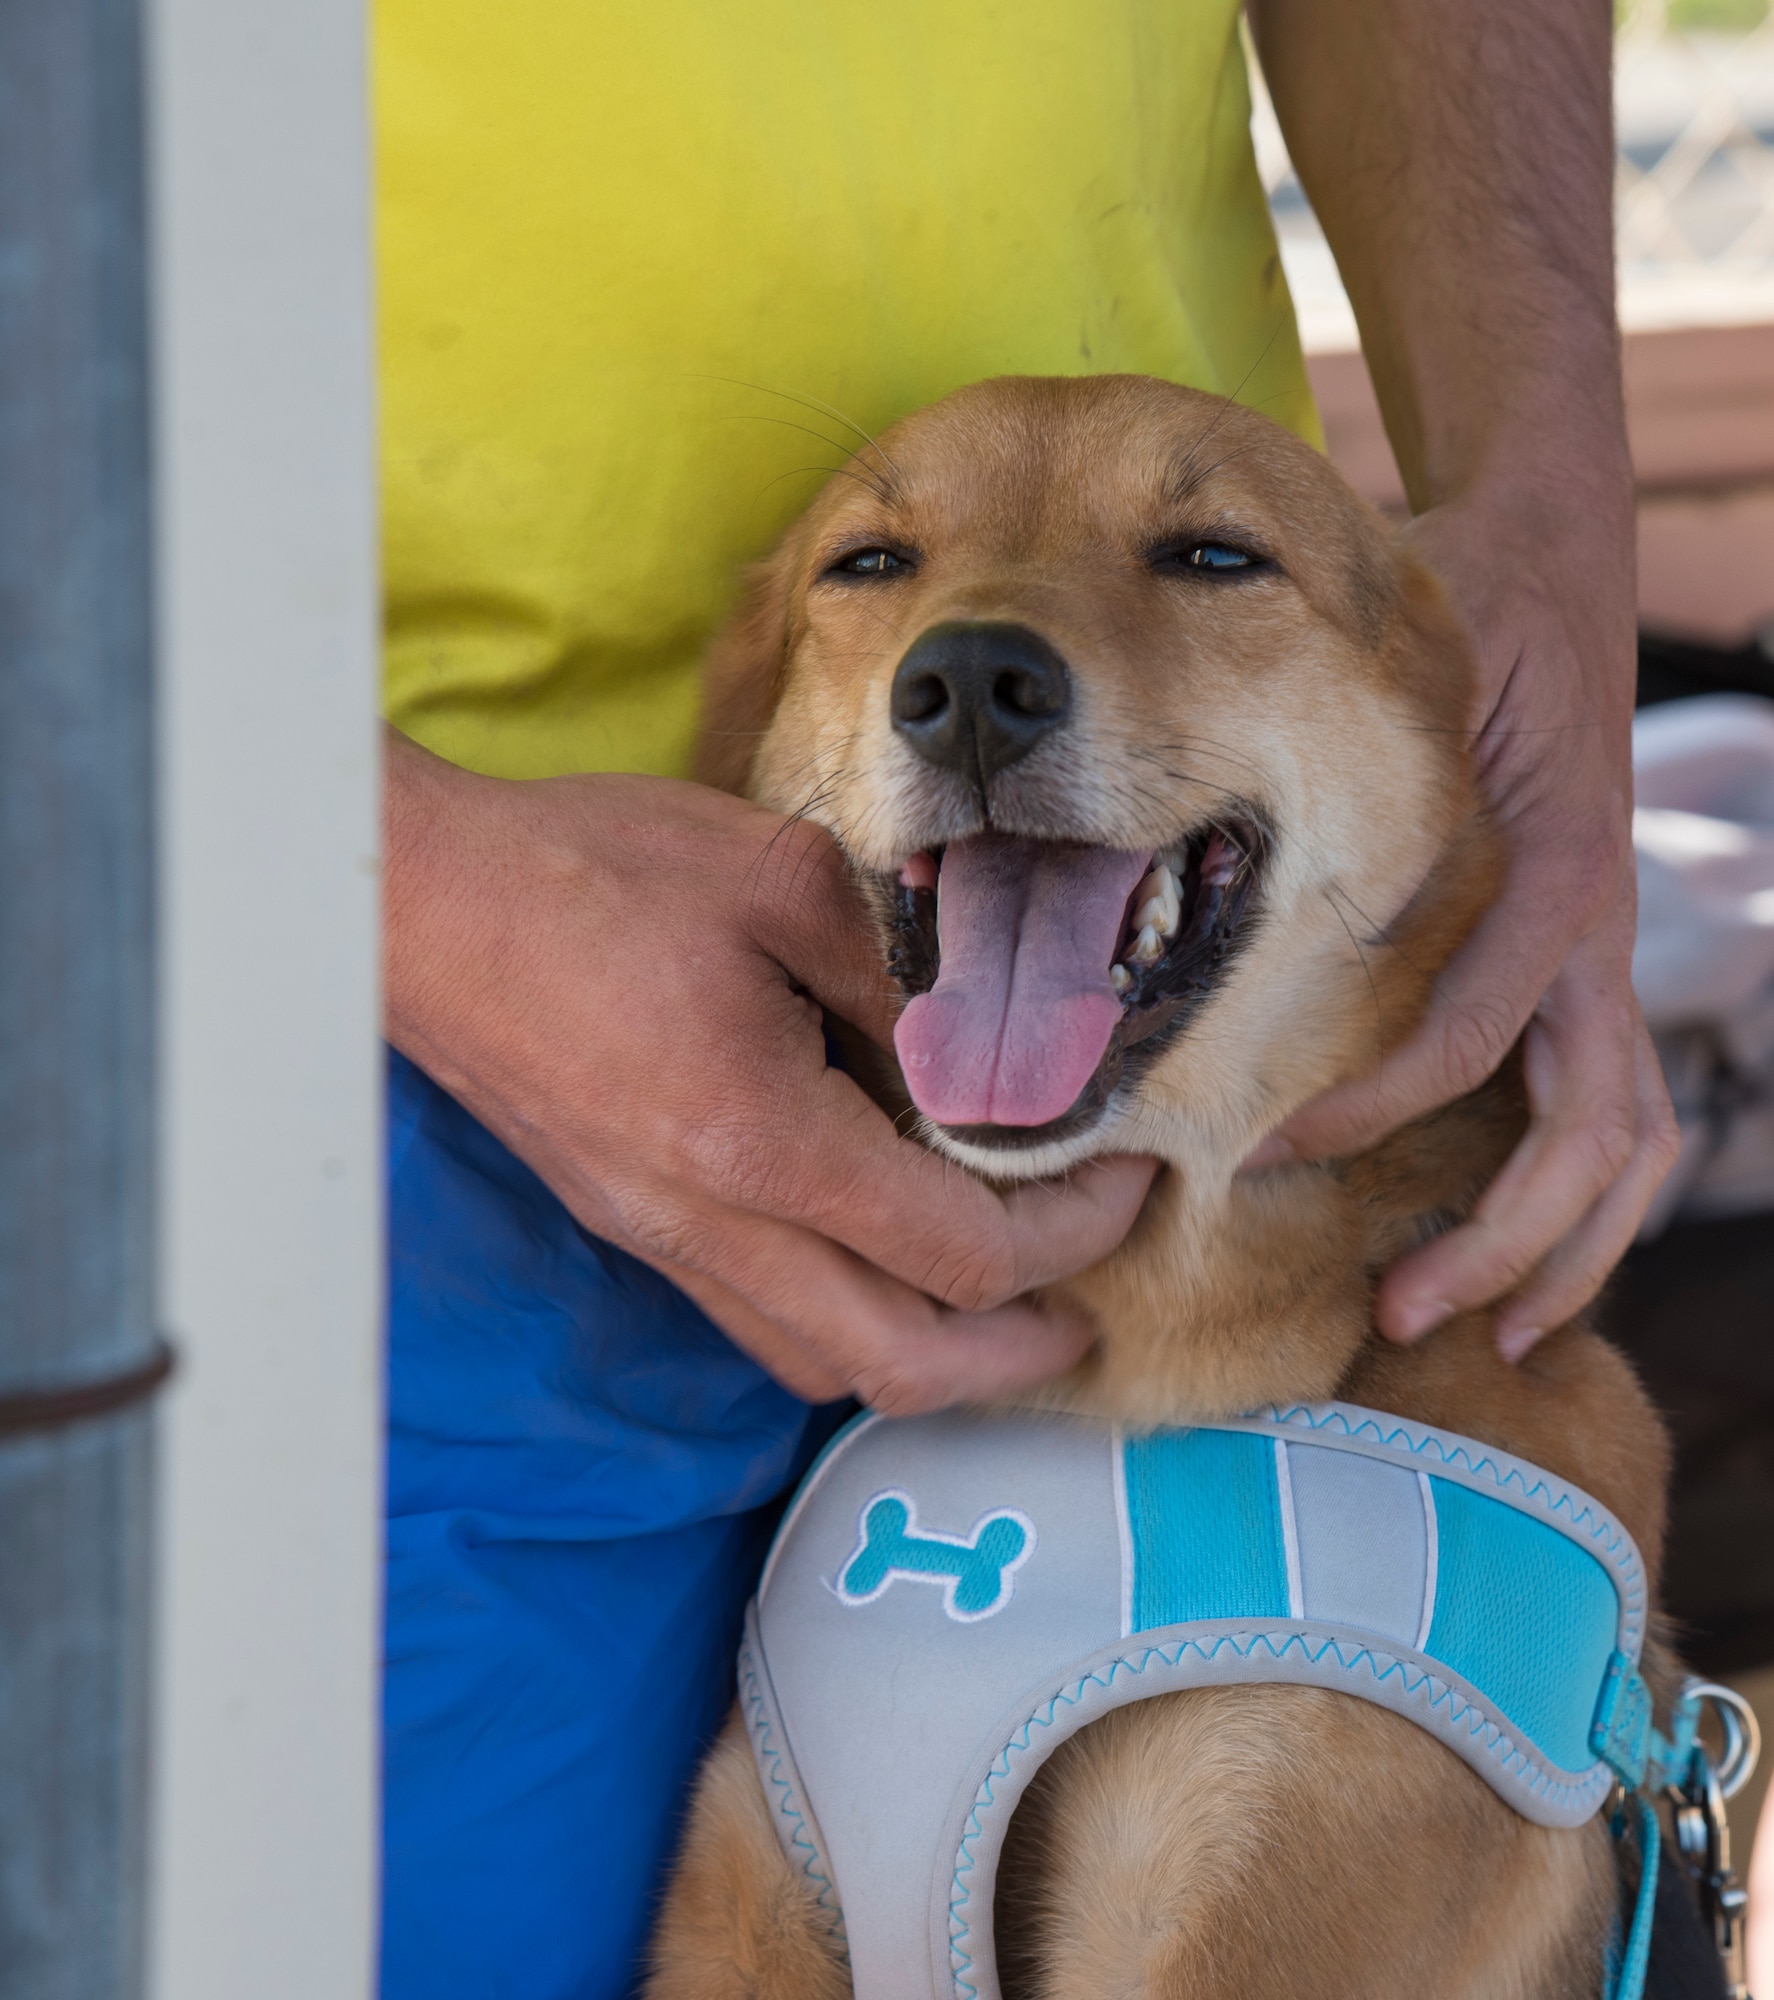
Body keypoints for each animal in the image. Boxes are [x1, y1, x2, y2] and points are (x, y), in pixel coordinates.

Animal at [644, 376, 1672, 2000]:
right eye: (868, 564)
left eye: (1212, 557)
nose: (971, 679)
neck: (1104, 1374)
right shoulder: (757, 1880)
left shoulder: (1253, 1876)